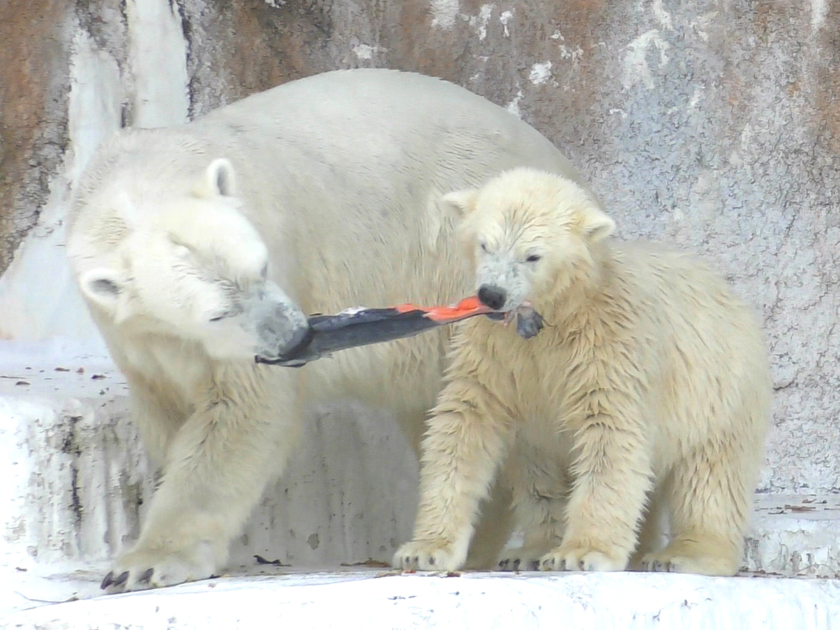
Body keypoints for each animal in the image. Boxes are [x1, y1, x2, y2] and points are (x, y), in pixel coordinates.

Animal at [67, 68, 592, 592]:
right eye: (217, 312)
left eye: (262, 266)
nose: (296, 337)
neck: (141, 178)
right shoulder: (135, 336)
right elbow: (169, 412)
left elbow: (241, 413)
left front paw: (144, 563)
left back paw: (533, 547)